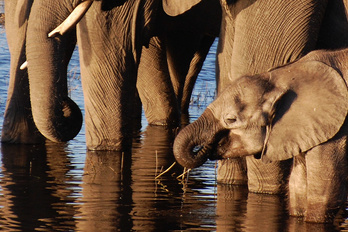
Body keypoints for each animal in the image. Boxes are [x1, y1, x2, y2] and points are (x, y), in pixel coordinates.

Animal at [174, 47, 348, 223]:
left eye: (231, 119)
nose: (209, 144)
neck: (285, 76)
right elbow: (297, 187)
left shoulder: (336, 130)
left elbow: (323, 192)